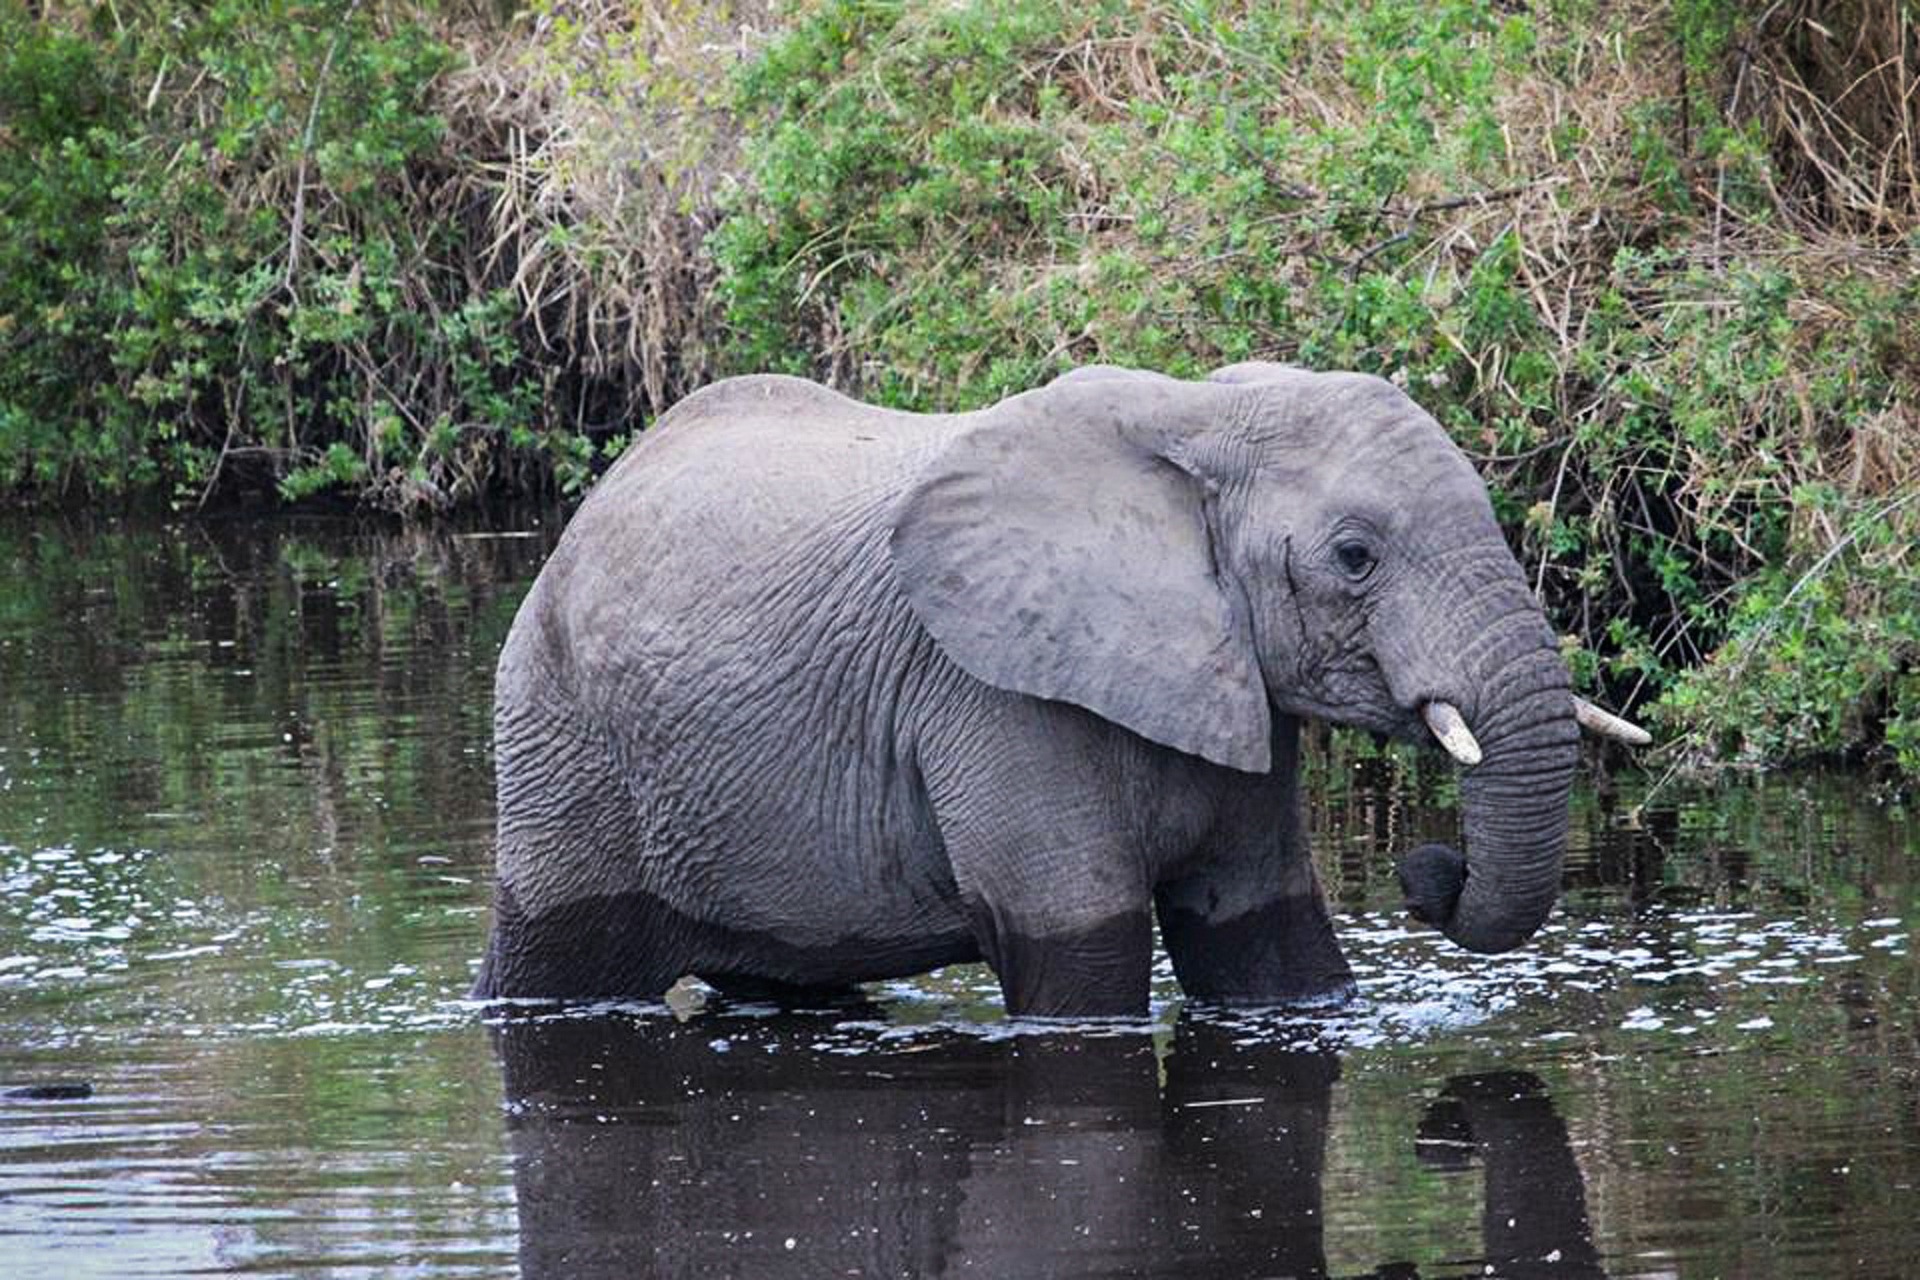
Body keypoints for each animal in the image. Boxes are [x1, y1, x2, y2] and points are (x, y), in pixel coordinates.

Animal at [473, 363, 1646, 1016]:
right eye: (1355, 556)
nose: (1426, 870)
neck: (1200, 421)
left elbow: (1267, 945)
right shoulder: (992, 697)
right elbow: (1083, 956)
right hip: (561, 735)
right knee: (550, 966)